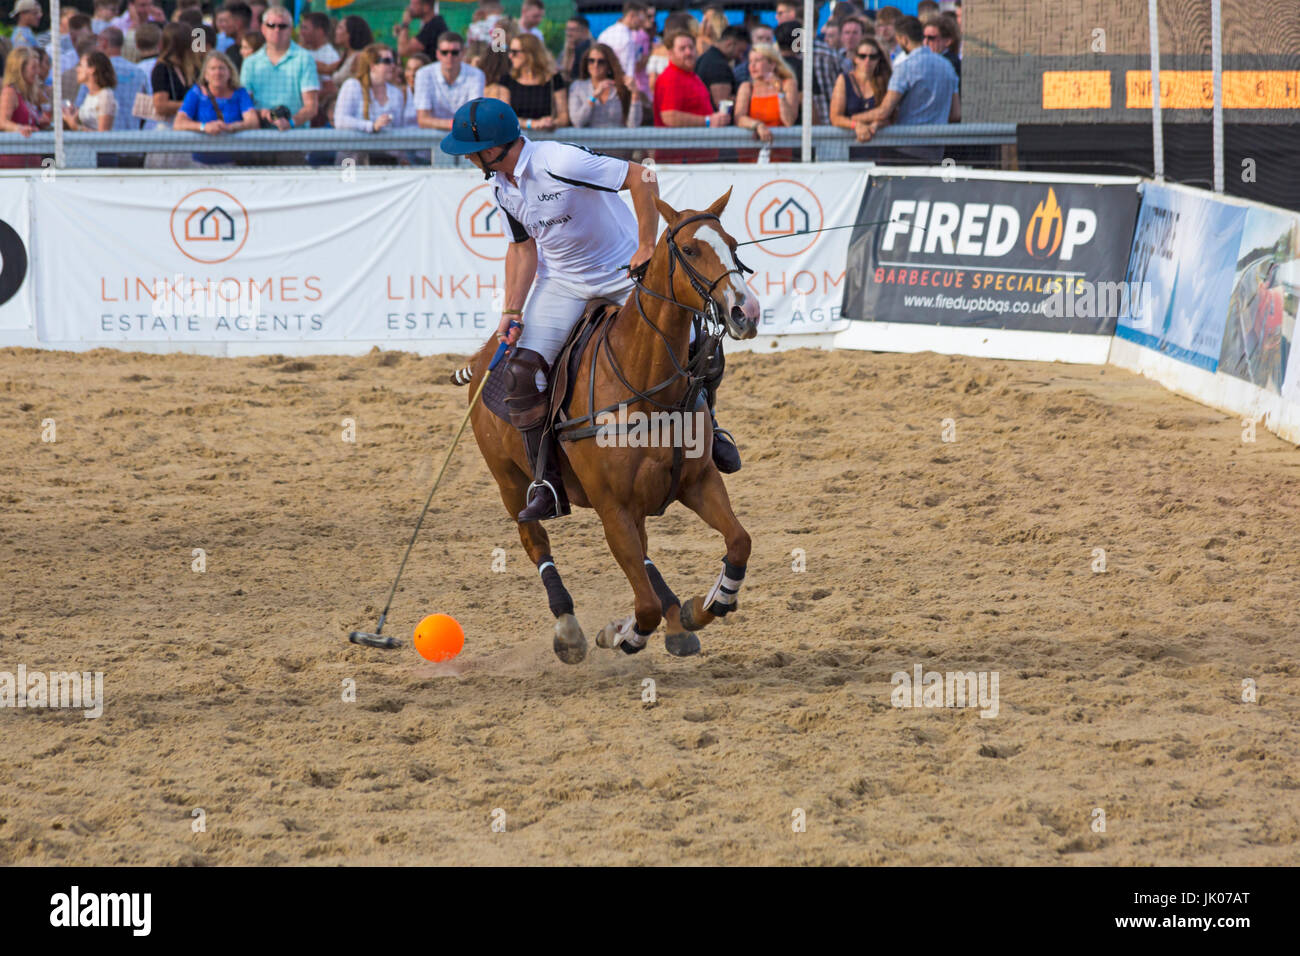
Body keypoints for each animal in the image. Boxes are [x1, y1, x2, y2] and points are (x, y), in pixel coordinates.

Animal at [457, 187, 759, 665]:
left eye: (732, 244)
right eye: (690, 249)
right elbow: (645, 606)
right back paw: (568, 628)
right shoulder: (612, 507)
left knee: (647, 559)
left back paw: (677, 624)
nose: (745, 311)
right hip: (509, 483)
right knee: (535, 540)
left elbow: (739, 543)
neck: (647, 389)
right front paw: (623, 634)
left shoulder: (698, 482)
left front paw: (702, 606)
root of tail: (493, 347)